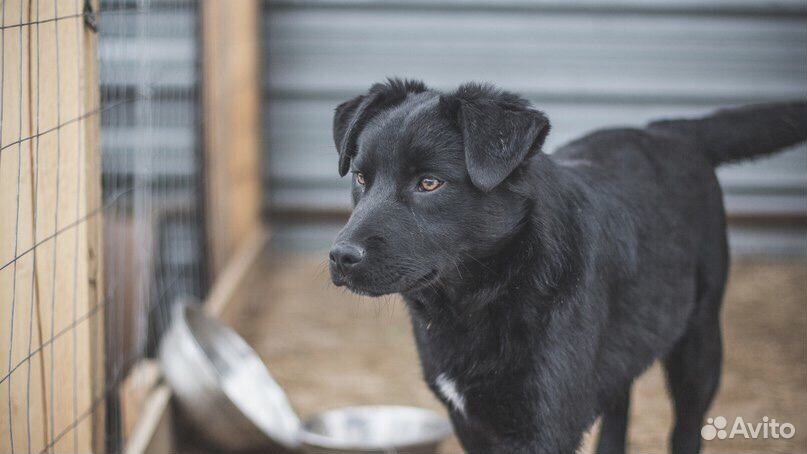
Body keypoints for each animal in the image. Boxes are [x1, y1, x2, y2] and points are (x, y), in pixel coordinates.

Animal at [328, 80, 807, 452]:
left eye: (429, 183)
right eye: (361, 178)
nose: (340, 257)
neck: (489, 293)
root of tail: (669, 131)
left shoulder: (544, 424)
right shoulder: (470, 421)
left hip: (699, 343)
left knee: (686, 428)